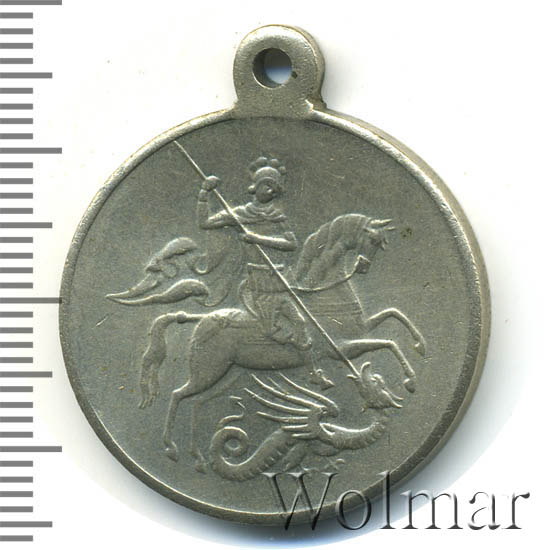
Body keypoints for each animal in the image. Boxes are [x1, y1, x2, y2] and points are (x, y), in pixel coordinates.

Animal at [138, 213, 426, 464]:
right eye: (373, 240)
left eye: (381, 243)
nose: (364, 267)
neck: (321, 295)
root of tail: (200, 319)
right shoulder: (343, 349)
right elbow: (389, 343)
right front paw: (410, 380)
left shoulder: (362, 329)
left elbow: (394, 315)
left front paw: (420, 345)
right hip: (207, 370)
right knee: (177, 395)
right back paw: (171, 448)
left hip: (227, 374)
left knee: (196, 403)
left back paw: (197, 456)